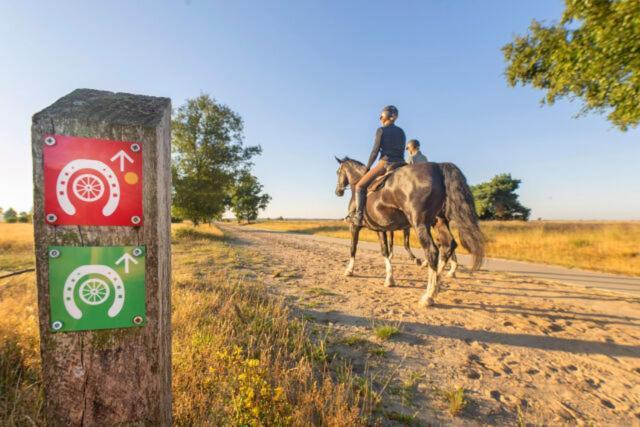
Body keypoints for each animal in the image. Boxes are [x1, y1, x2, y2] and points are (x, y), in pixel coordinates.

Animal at [336, 158, 484, 308]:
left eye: (338, 172)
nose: (338, 191)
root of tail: (438, 167)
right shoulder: (381, 229)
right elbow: (385, 251)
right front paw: (389, 278)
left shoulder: (355, 226)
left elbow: (353, 248)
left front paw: (349, 270)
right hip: (439, 222)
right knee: (448, 245)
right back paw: (437, 285)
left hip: (420, 223)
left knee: (433, 251)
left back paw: (428, 295)